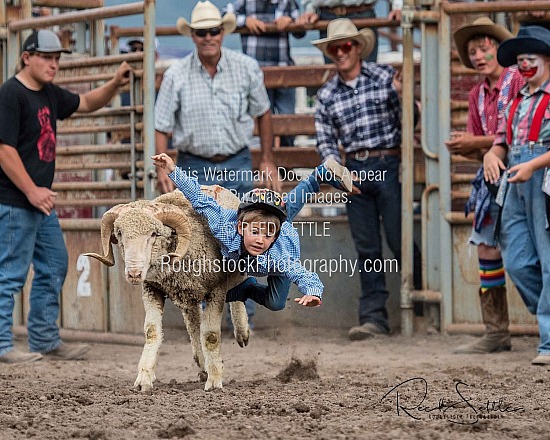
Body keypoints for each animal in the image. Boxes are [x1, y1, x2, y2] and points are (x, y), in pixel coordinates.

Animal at [85, 186, 251, 392]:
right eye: (120, 233)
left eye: (154, 234)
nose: (133, 273)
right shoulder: (151, 289)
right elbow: (152, 332)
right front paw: (144, 378)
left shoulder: (216, 289)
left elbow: (211, 336)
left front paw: (214, 381)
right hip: (188, 296)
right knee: (193, 324)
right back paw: (202, 363)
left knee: (239, 288)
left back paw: (242, 332)